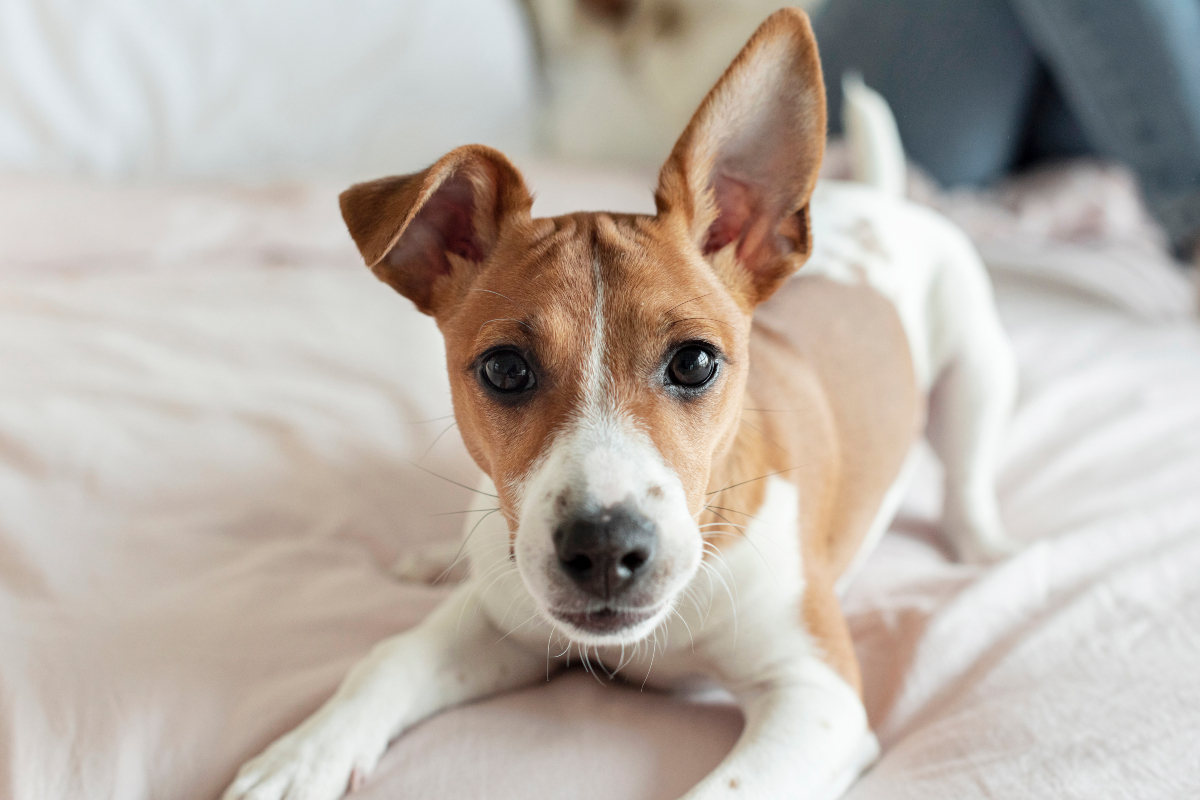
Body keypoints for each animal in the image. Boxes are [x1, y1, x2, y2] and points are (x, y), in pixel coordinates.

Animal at [225, 7, 1012, 800]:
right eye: (505, 369)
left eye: (694, 362)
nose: (604, 549)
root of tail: (881, 198)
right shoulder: (502, 626)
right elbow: (390, 659)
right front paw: (303, 756)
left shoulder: (817, 694)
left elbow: (726, 789)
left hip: (976, 374)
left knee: (967, 484)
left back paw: (988, 552)